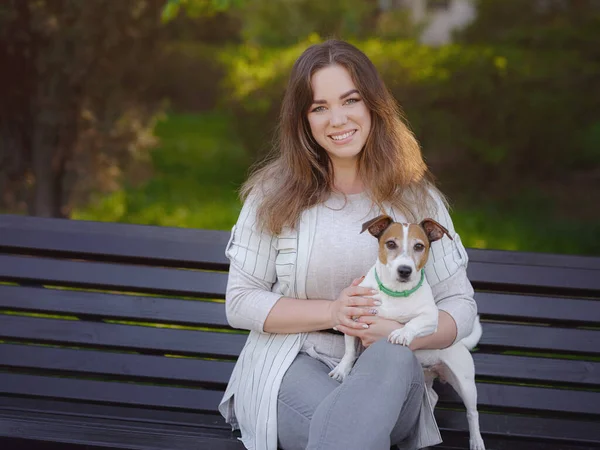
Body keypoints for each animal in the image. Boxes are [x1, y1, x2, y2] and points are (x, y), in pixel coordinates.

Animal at [328, 214, 488, 450]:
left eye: (419, 246)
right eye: (390, 244)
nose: (405, 270)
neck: (395, 292)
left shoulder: (431, 318)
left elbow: (413, 323)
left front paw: (402, 333)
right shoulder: (354, 315)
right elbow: (349, 350)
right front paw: (342, 369)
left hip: (465, 383)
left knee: (472, 413)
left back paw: (476, 440)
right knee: (433, 398)